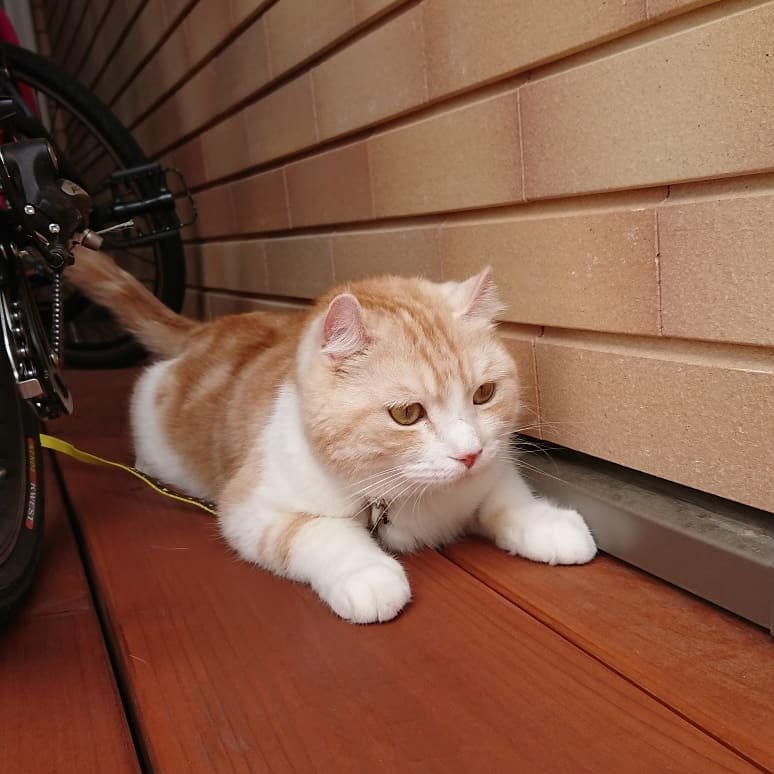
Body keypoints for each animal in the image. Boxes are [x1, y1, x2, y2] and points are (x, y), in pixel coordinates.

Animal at [66, 249, 600, 624]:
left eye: (484, 393)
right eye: (407, 414)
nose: (468, 453)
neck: (410, 497)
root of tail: (208, 330)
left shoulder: (490, 469)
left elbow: (506, 496)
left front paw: (548, 524)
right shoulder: (251, 510)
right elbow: (320, 531)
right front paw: (369, 574)